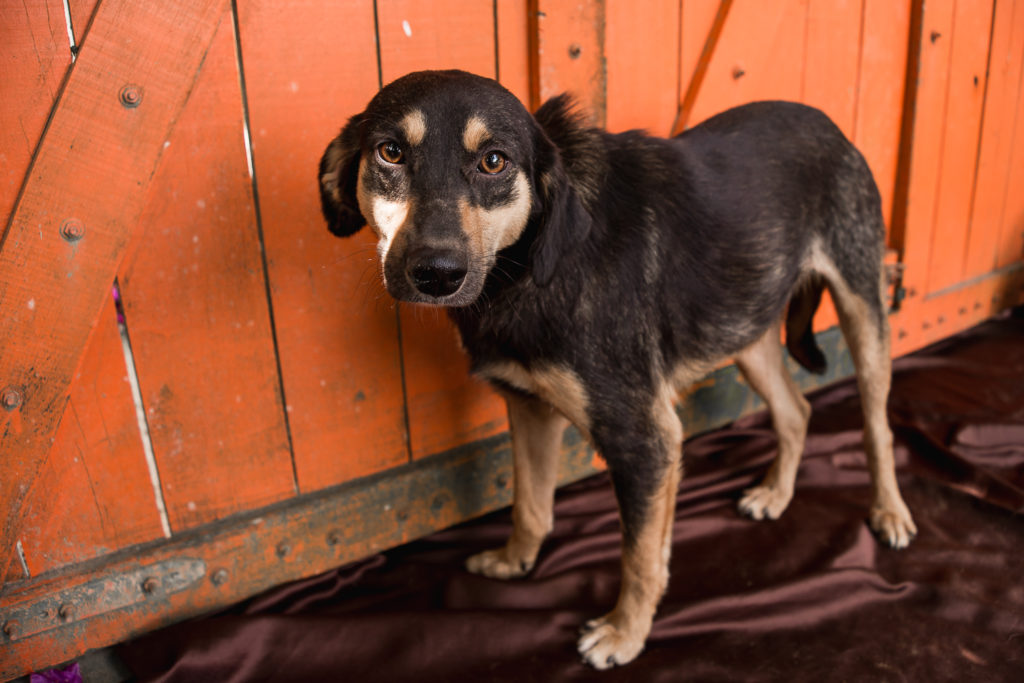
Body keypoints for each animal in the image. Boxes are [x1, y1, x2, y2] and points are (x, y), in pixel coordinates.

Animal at [315, 69, 917, 667]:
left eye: (494, 161)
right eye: (390, 152)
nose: (437, 273)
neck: (534, 265)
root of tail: (825, 121)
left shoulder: (644, 439)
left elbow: (640, 557)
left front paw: (625, 634)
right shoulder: (531, 409)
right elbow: (531, 506)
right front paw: (515, 561)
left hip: (863, 307)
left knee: (877, 425)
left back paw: (890, 513)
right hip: (746, 327)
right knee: (797, 410)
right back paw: (777, 494)